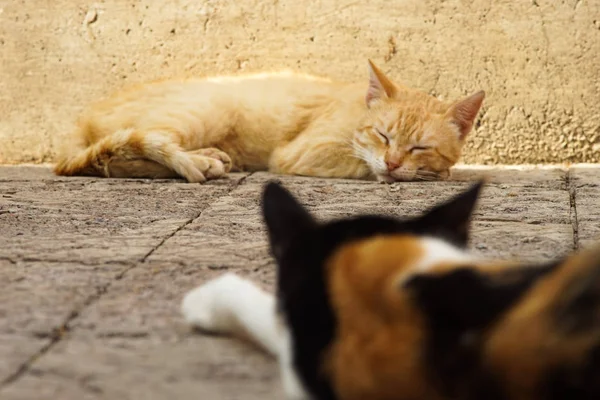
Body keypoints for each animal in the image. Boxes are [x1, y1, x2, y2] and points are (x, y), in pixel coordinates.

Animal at [54, 59, 486, 183]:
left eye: (420, 146)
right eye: (383, 135)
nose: (394, 162)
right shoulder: (301, 153)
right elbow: (361, 164)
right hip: (211, 105)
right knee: (136, 143)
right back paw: (201, 162)